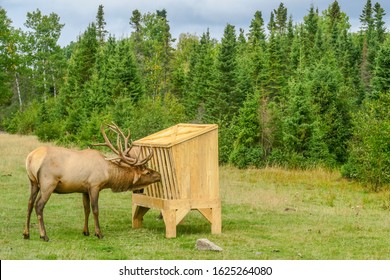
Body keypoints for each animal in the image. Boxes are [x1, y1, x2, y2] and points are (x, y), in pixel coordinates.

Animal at [22, 123, 161, 242]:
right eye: (148, 172)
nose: (159, 175)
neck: (108, 174)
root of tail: (30, 158)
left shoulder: (84, 189)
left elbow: (86, 209)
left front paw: (86, 231)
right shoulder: (95, 185)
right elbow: (95, 209)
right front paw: (99, 233)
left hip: (33, 182)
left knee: (29, 203)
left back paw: (26, 233)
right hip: (48, 183)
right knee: (39, 206)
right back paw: (44, 235)